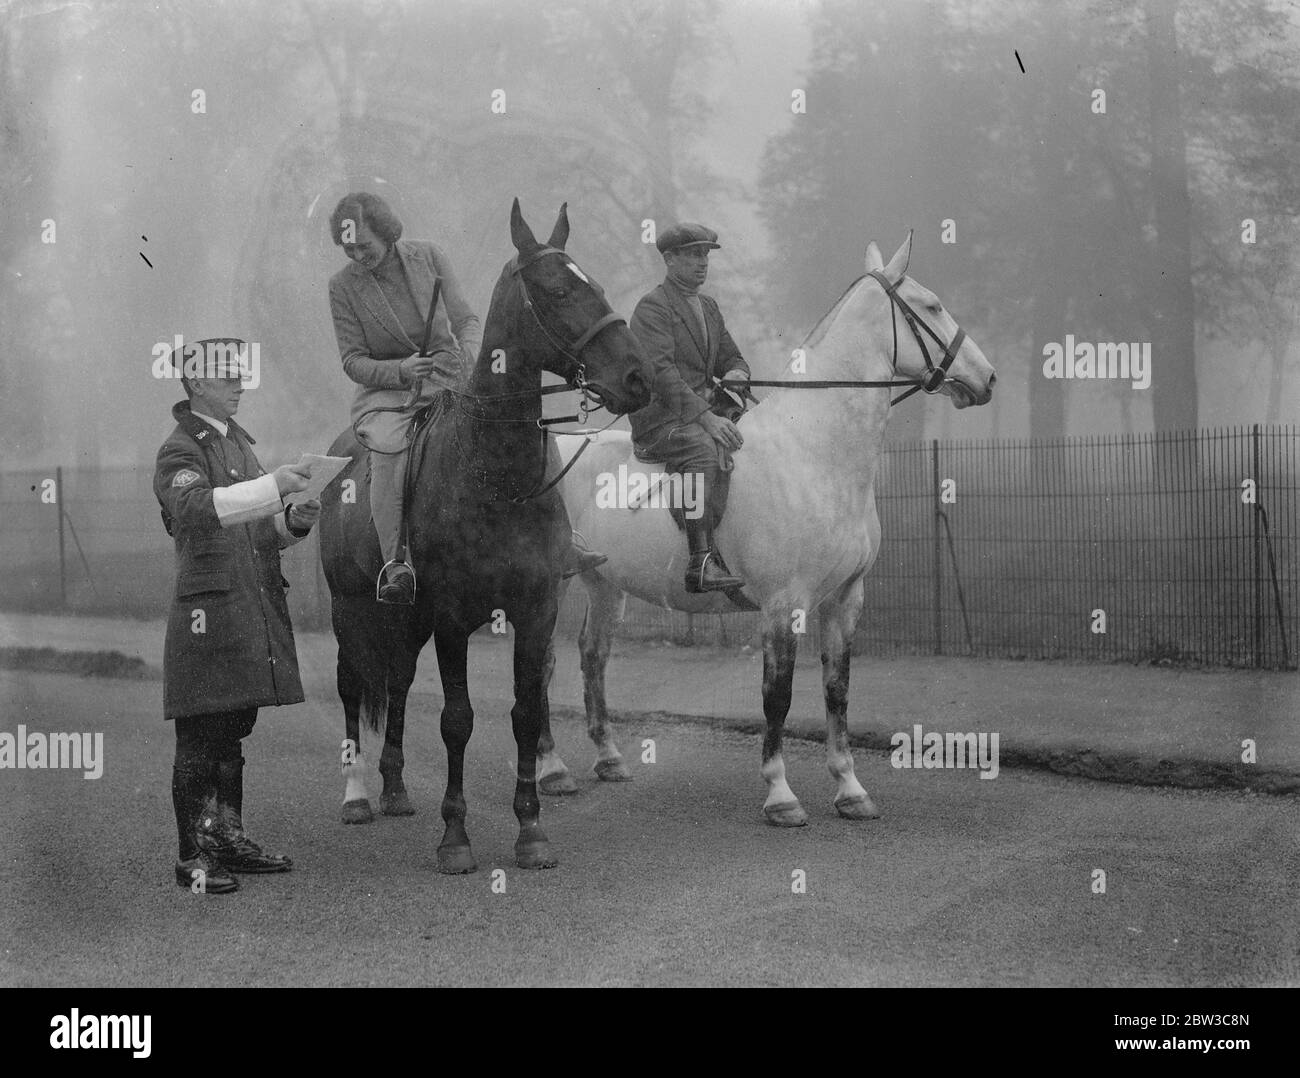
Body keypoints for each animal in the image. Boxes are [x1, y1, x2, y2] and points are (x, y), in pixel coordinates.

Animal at [319, 201, 650, 868]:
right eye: (557, 290)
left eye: (596, 284)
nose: (635, 377)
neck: (493, 473)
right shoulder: (451, 618)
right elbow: (457, 720)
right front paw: (455, 838)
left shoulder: (536, 608)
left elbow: (525, 713)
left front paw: (532, 830)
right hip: (351, 609)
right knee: (352, 690)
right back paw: (358, 795)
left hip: (407, 619)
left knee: (397, 683)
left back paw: (394, 788)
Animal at [533, 237, 998, 821]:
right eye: (933, 306)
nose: (988, 378)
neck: (816, 451)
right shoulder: (784, 604)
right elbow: (778, 696)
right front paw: (780, 794)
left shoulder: (845, 599)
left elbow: (837, 690)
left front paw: (850, 788)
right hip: (555, 583)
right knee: (543, 663)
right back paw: (550, 769)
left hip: (603, 583)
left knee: (592, 656)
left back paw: (609, 758)